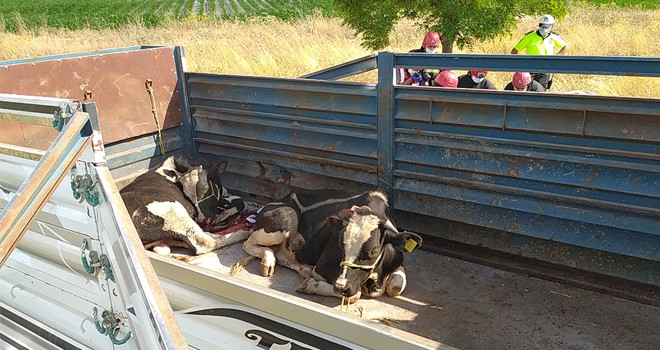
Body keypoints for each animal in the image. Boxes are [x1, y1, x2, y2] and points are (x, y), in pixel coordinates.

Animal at [120, 157, 249, 256]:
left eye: (207, 190)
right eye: (186, 193)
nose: (202, 219)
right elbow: (238, 203)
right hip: (174, 213)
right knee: (205, 241)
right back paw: (243, 232)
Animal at [237, 190, 422, 302]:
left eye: (373, 251)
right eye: (340, 245)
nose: (342, 285)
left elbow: (395, 287)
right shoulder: (323, 267)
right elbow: (355, 295)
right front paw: (311, 285)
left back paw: (302, 269)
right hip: (286, 217)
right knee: (248, 243)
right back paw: (268, 261)